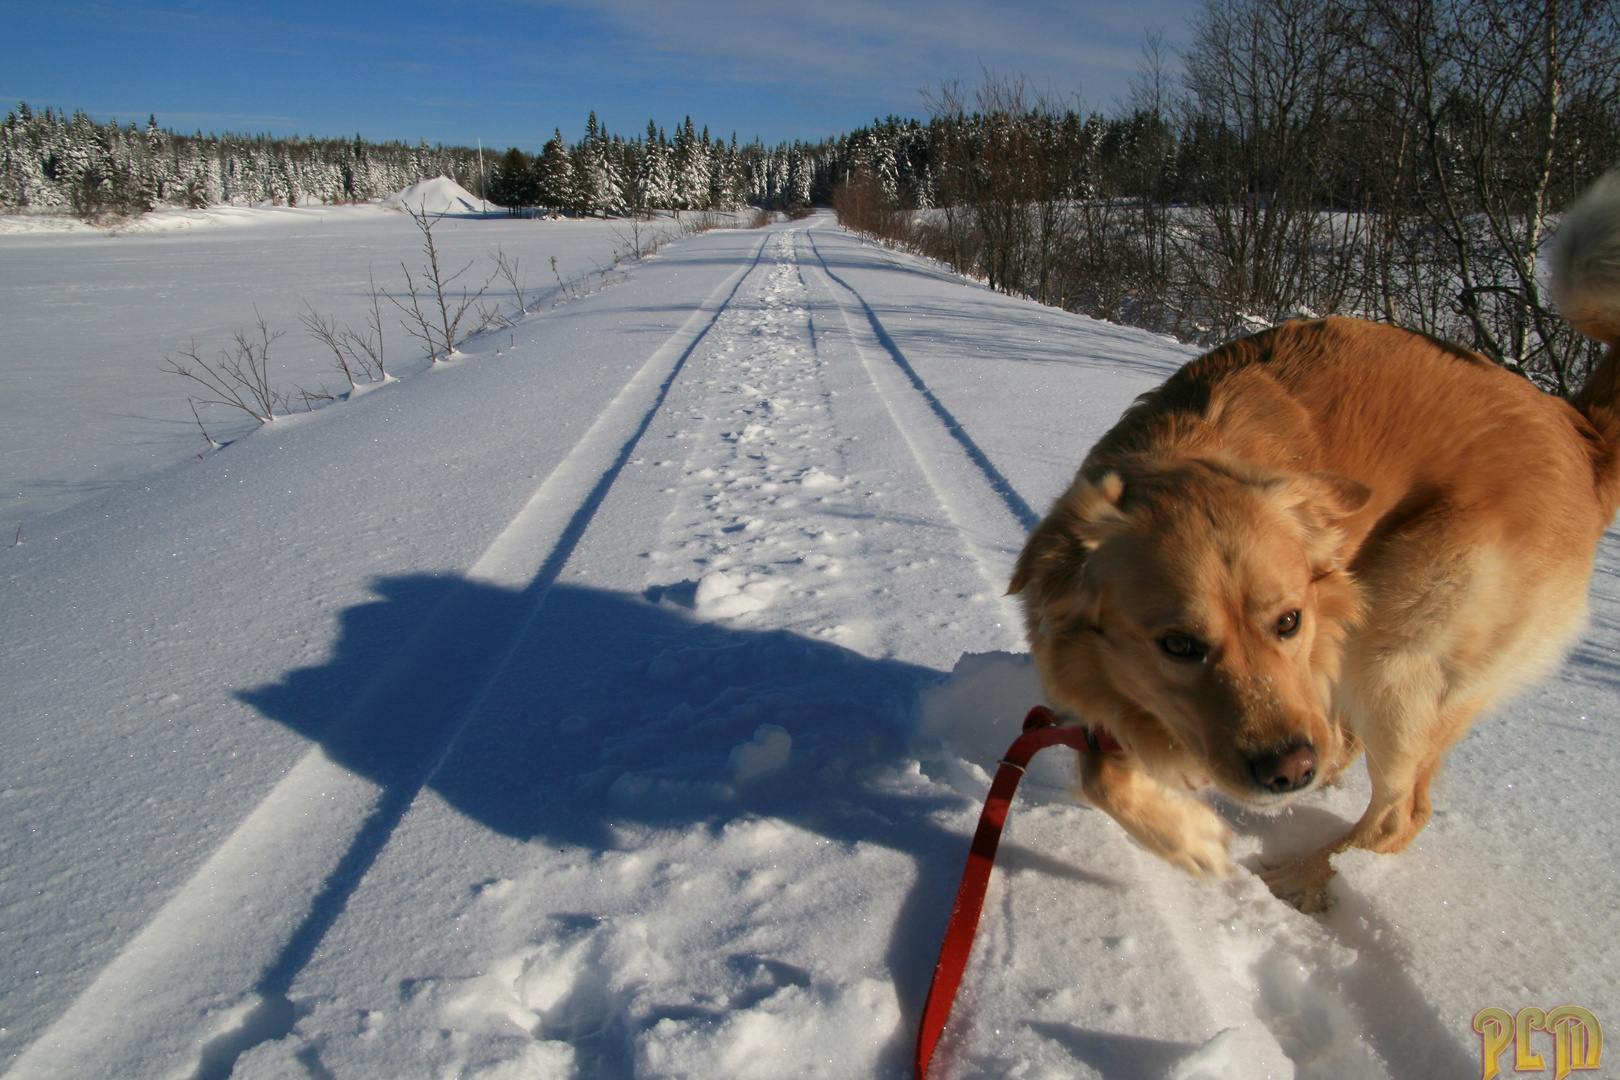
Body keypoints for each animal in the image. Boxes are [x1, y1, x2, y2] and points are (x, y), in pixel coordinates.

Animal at [1010, 170, 1620, 913]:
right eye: (1178, 645)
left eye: (1289, 621)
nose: (1287, 771)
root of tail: (1579, 433)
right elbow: (1100, 770)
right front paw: (1186, 833)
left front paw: (1200, 841)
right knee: (1355, 754)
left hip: (1400, 639)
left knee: (1399, 813)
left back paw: (1303, 876)